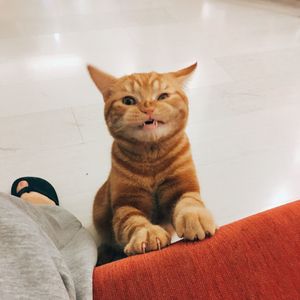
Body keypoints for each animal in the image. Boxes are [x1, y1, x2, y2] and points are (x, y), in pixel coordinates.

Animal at [86, 63, 216, 264]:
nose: (148, 108)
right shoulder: (127, 204)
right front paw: (147, 233)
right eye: (128, 100)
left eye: (162, 96)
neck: (152, 158)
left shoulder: (182, 187)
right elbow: (132, 221)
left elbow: (190, 201)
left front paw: (195, 217)